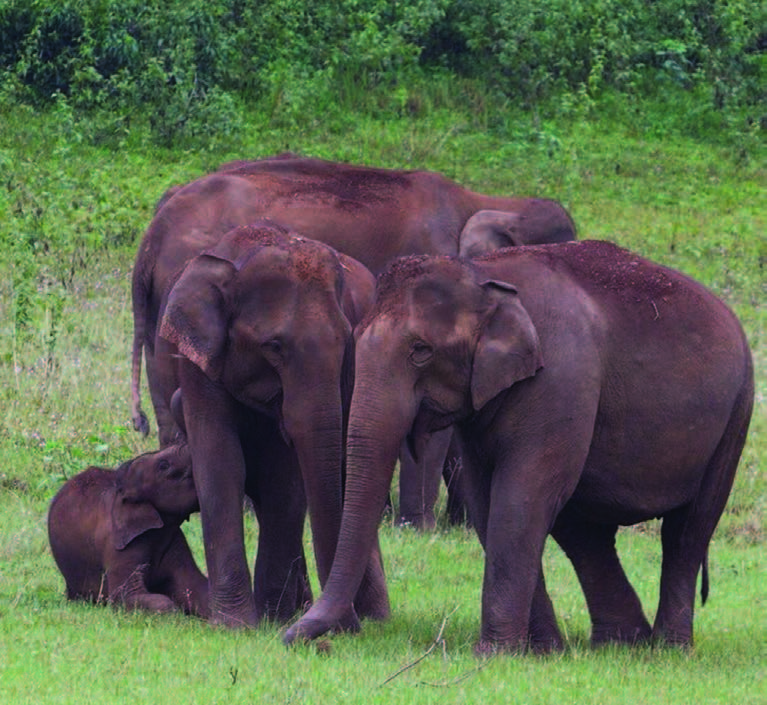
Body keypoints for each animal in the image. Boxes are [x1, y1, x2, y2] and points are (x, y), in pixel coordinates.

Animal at [48, 446, 210, 616]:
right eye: (163, 465)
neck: (121, 488)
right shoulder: (117, 543)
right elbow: (124, 597)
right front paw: (176, 615)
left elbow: (195, 588)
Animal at [157, 221, 390, 628]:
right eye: (274, 347)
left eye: (346, 341)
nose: (346, 628)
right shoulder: (200, 360)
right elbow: (221, 462)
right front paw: (236, 625)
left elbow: (283, 479)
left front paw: (271, 618)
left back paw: (372, 617)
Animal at [284, 239, 756, 652]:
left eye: (420, 350)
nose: (290, 637)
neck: (483, 273)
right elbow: (487, 502)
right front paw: (540, 652)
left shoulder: (560, 378)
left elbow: (520, 496)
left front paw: (493, 654)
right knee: (584, 531)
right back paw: (622, 644)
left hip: (735, 415)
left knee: (687, 530)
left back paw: (668, 648)